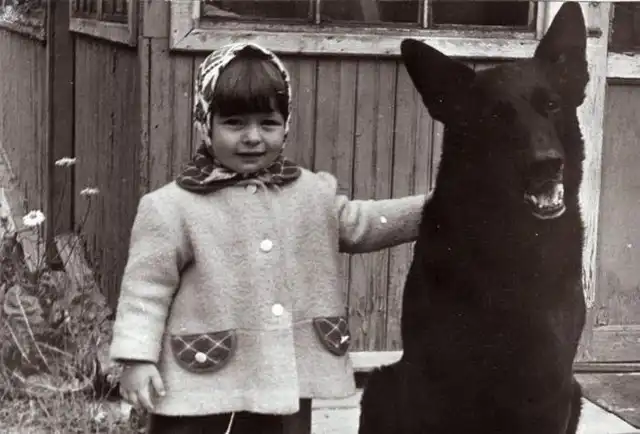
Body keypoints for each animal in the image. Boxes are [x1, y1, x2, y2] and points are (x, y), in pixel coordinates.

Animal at [358, 3, 588, 433]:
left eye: (551, 105)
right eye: (496, 116)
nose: (547, 165)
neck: (510, 241)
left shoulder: (549, 387)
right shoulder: (434, 380)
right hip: (385, 384)